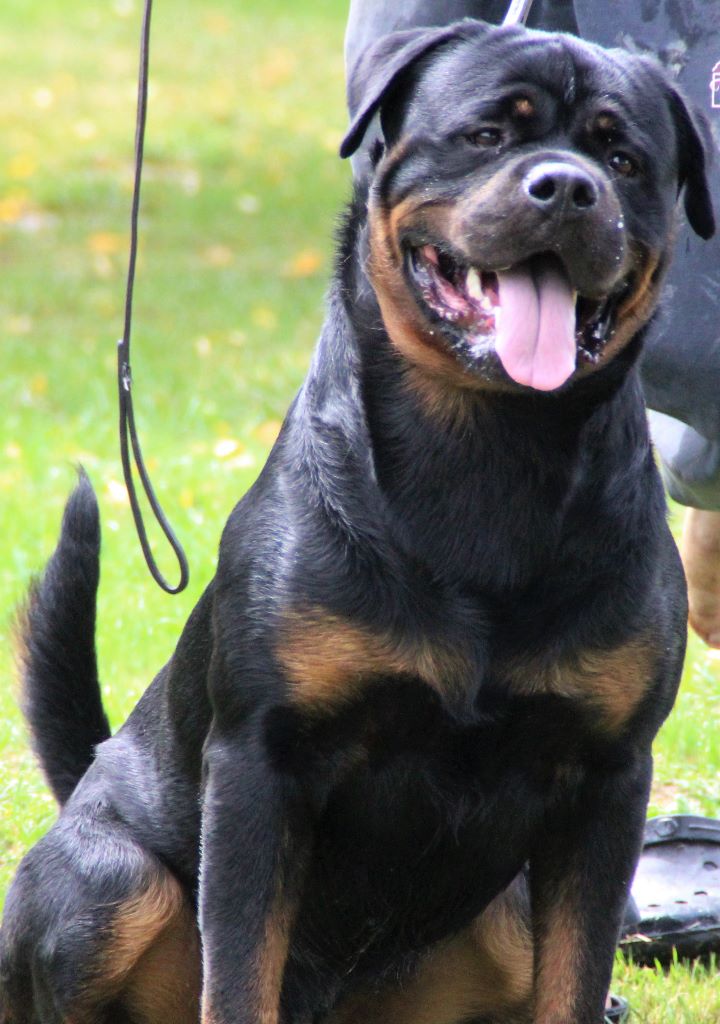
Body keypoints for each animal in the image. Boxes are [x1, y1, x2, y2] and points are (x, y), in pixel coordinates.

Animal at [1, 16, 716, 1024]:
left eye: (623, 158)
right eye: (488, 134)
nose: (569, 186)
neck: (488, 451)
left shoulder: (607, 781)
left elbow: (574, 984)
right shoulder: (260, 763)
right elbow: (239, 978)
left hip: (508, 915)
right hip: (110, 886)